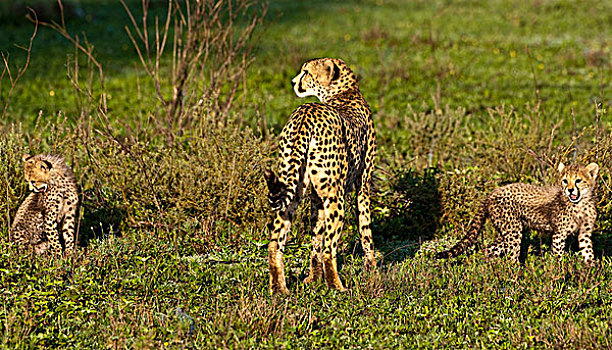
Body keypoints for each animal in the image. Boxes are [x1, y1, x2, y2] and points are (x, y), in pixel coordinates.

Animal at [264, 57, 376, 292]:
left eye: (306, 72)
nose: (293, 81)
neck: (345, 91)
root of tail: (305, 112)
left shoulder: (316, 197)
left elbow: (315, 238)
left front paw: (313, 278)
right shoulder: (363, 186)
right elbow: (365, 228)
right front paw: (372, 269)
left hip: (291, 187)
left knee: (275, 242)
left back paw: (279, 289)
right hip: (335, 197)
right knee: (329, 249)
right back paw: (337, 287)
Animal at [438, 162, 600, 262]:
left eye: (578, 180)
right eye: (565, 181)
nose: (570, 190)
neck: (580, 203)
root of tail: (491, 193)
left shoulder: (584, 233)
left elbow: (587, 252)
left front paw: (591, 272)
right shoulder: (559, 235)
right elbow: (559, 256)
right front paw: (560, 273)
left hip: (506, 231)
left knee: (488, 249)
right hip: (513, 230)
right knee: (511, 257)